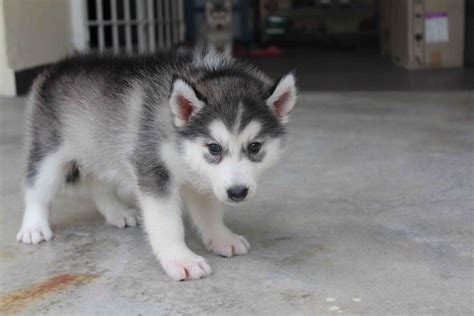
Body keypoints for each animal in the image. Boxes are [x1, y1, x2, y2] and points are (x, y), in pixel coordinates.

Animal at [18, 48, 298, 280]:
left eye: (255, 147)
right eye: (214, 148)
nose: (237, 192)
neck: (175, 134)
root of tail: (60, 65)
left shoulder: (202, 177)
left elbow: (209, 212)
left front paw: (221, 237)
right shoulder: (152, 168)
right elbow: (167, 223)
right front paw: (181, 259)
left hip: (100, 146)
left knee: (98, 181)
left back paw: (116, 212)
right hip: (50, 149)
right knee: (37, 187)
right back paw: (33, 227)